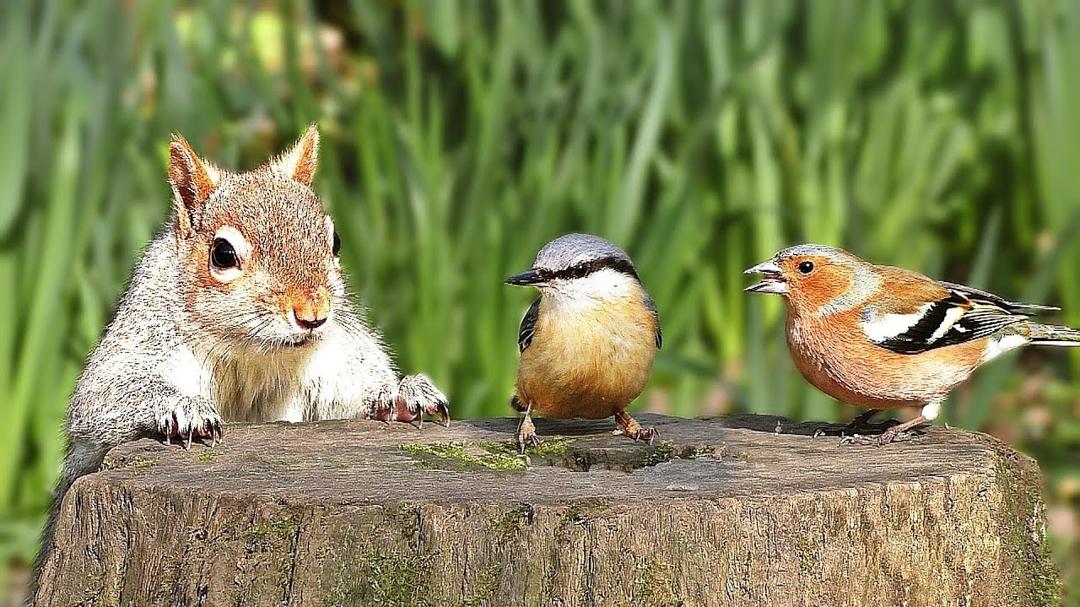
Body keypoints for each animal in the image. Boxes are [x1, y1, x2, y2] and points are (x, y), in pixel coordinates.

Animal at [31, 125, 449, 596]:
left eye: (335, 242)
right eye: (223, 255)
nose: (313, 315)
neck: (251, 351)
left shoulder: (332, 358)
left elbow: (349, 395)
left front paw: (401, 393)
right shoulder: (140, 341)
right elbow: (101, 401)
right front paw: (184, 409)